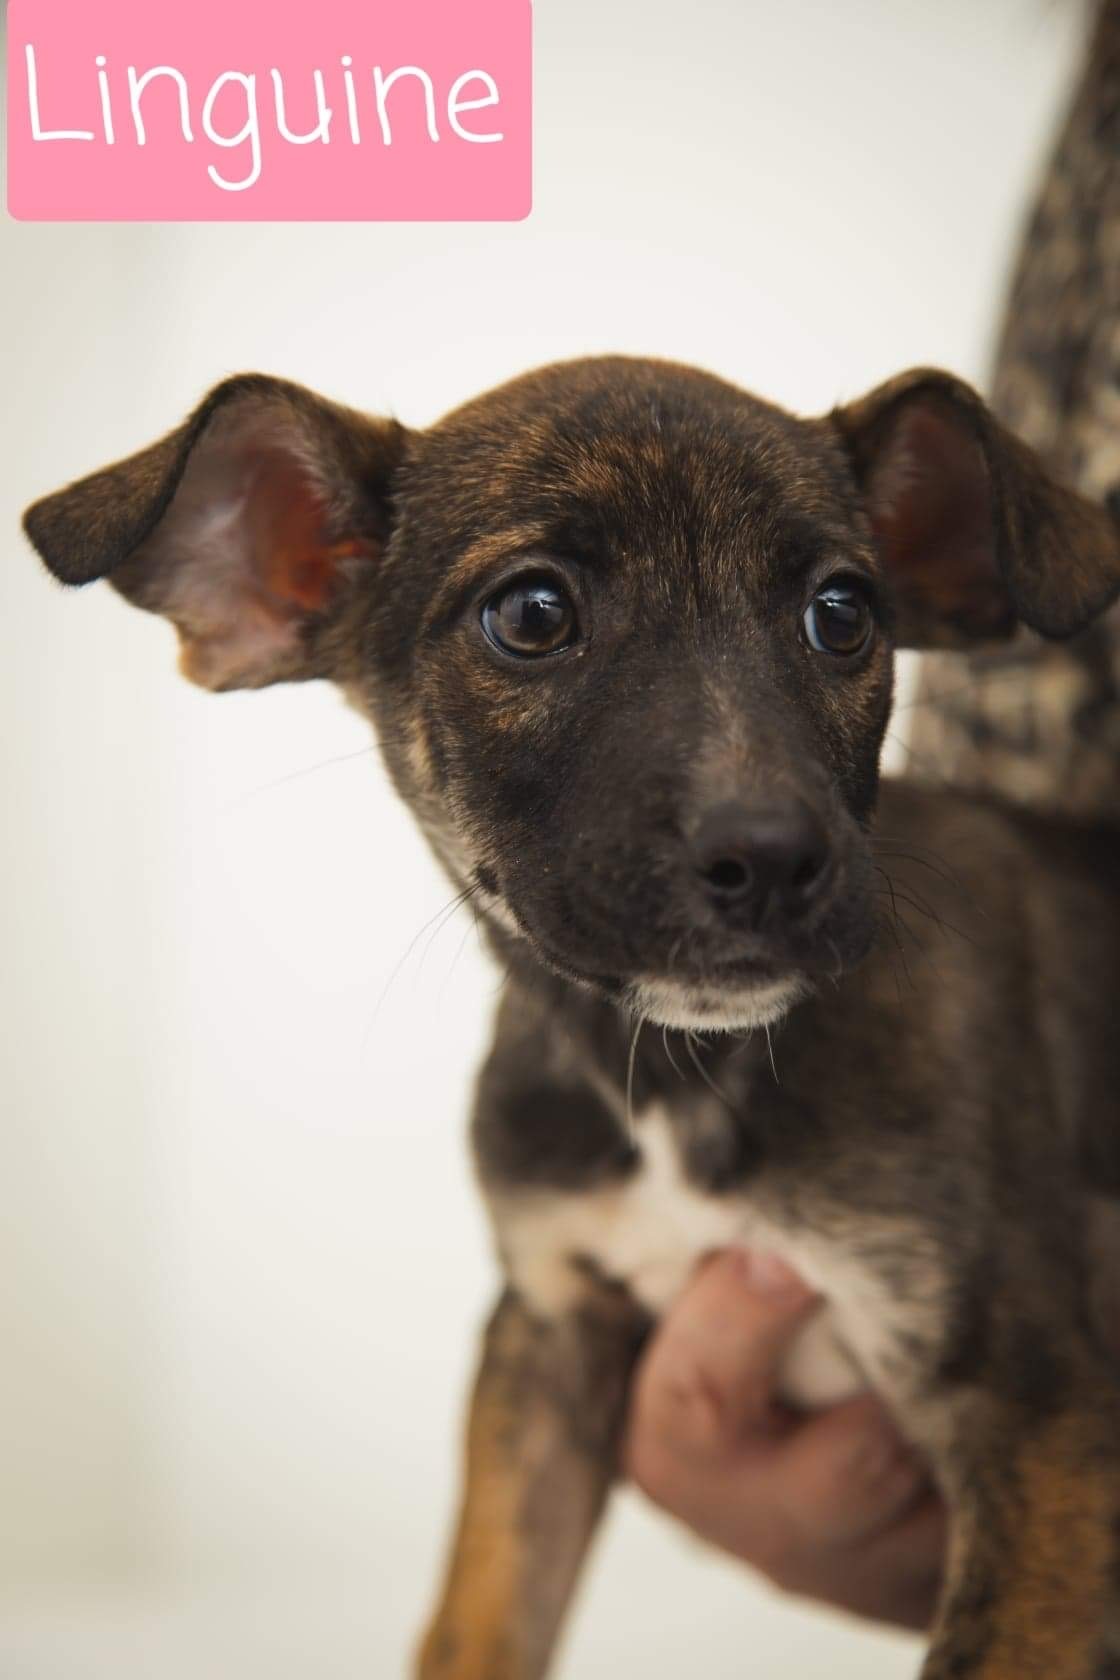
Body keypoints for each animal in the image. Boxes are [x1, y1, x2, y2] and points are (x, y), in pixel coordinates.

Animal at [24, 357, 1120, 1680]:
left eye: (843, 613)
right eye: (534, 614)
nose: (771, 858)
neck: (675, 1078)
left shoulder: (1034, 1405)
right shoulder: (543, 1339)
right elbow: (475, 1624)